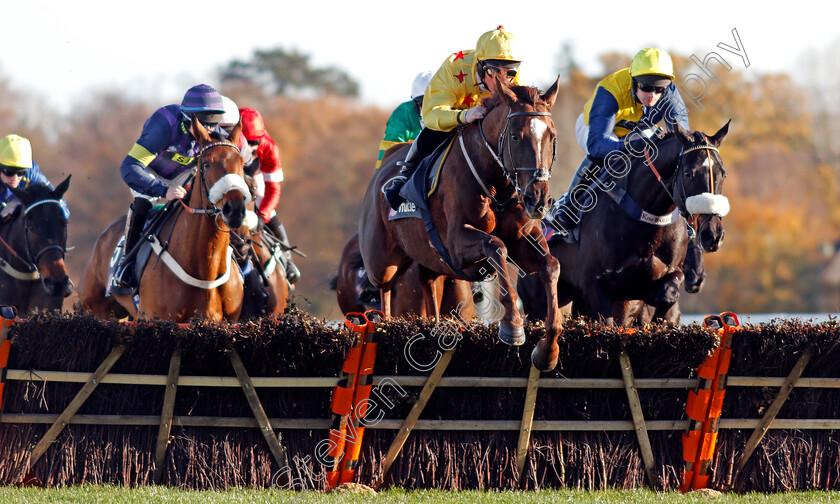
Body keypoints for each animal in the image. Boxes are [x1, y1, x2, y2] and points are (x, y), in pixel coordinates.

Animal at [77, 120, 249, 320]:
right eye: (206, 164)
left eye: (241, 163)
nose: (234, 209)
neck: (204, 270)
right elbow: (131, 164)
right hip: (99, 310)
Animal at [356, 77, 564, 372]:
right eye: (516, 136)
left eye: (552, 137)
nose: (539, 199)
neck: (496, 183)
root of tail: (384, 166)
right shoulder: (457, 244)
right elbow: (496, 246)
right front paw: (512, 325)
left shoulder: (523, 238)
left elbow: (551, 265)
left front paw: (548, 350)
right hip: (382, 261)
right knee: (384, 286)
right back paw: (383, 324)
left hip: (430, 258)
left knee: (428, 281)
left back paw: (435, 325)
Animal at [520, 122, 732, 326]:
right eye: (689, 174)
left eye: (723, 173)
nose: (713, 234)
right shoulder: (595, 285)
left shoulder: (652, 284)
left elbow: (668, 294)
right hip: (542, 303)